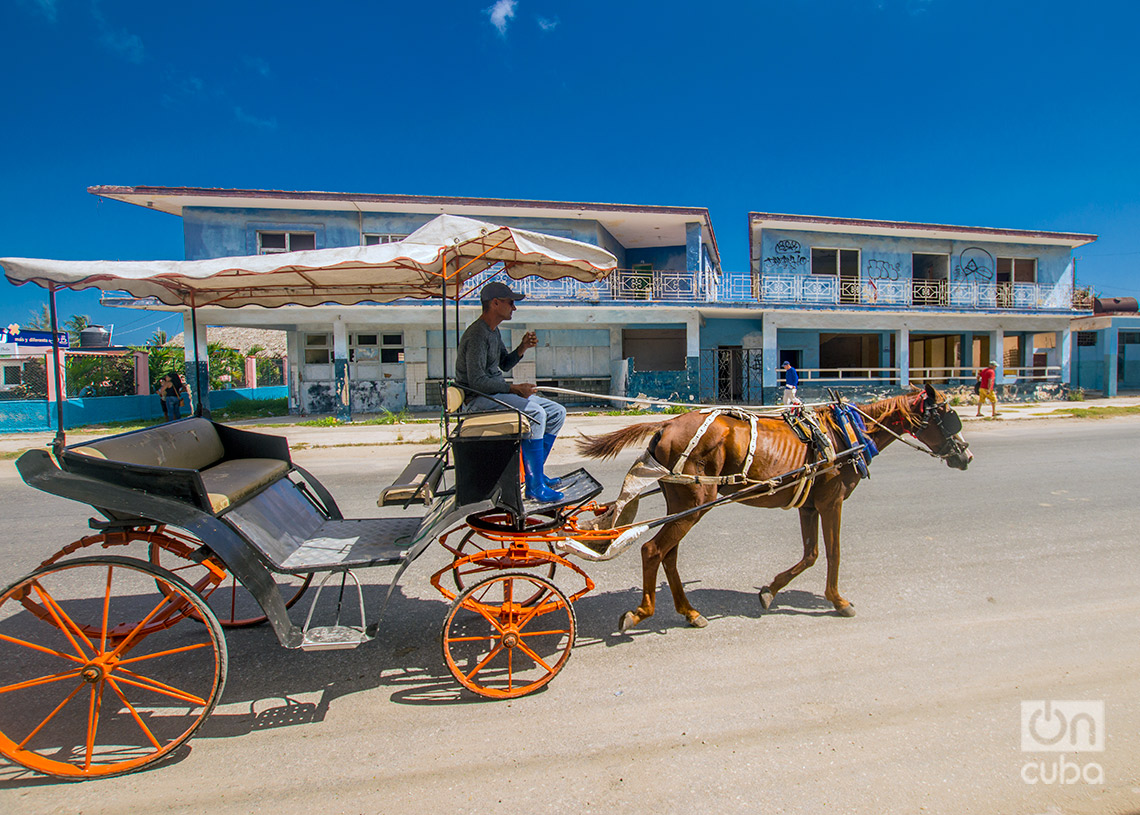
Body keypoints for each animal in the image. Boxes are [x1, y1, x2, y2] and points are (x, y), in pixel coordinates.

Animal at [579, 385, 971, 633]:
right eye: (948, 416)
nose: (965, 455)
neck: (846, 434)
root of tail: (666, 424)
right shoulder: (831, 501)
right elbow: (834, 552)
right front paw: (838, 600)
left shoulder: (808, 505)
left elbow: (811, 554)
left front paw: (770, 591)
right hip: (695, 504)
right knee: (652, 550)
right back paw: (641, 613)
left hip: (683, 505)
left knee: (668, 555)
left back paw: (689, 612)